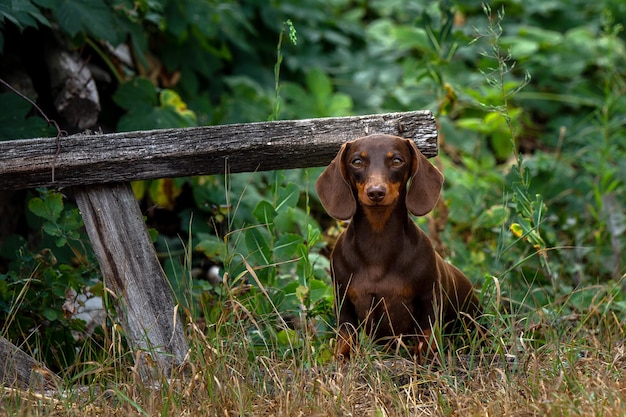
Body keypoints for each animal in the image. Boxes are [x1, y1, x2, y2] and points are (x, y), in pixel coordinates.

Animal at [314, 135, 480, 360]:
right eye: (357, 161)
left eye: (397, 160)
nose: (376, 192)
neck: (378, 241)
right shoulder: (343, 300)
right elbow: (346, 337)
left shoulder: (429, 299)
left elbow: (427, 338)